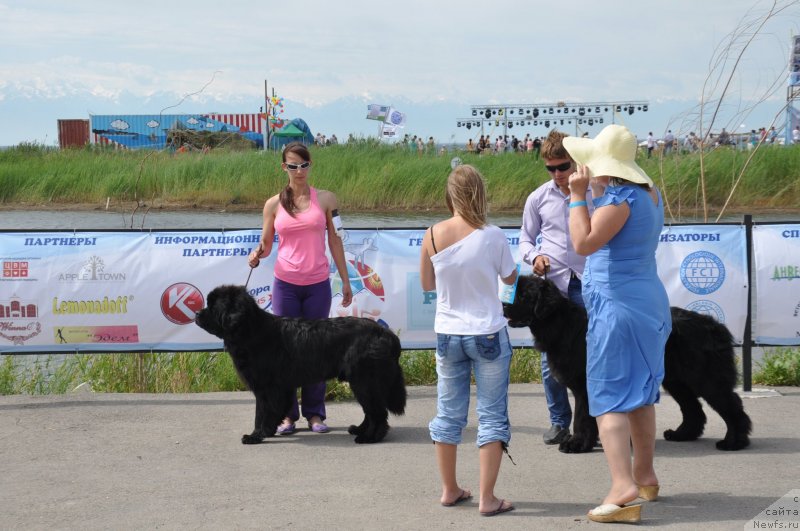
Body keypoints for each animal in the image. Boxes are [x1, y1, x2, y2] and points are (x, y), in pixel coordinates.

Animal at [194, 286, 406, 444]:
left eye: (212, 306)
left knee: (377, 412)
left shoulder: (267, 387)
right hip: (362, 382)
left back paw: (369, 437)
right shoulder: (276, 387)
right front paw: (266, 432)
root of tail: (387, 334)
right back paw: (359, 429)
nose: (196, 313)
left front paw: (255, 435)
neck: (250, 331)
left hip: (364, 380)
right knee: (371, 411)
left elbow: (262, 412)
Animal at [504, 276, 752, 456]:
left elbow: (582, 417)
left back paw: (734, 442)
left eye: (524, 296)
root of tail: (713, 325)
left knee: (732, 406)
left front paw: (576, 443)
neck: (562, 325)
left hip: (706, 379)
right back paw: (682, 434)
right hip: (677, 380)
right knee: (693, 409)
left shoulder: (586, 386)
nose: (504, 306)